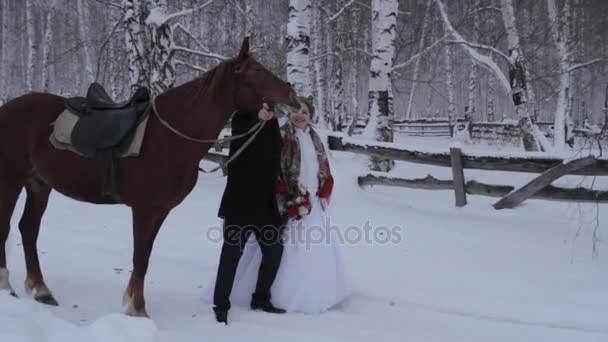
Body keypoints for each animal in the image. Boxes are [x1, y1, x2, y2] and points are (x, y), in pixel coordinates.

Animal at [0, 38, 296, 318]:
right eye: (255, 70)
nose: (292, 92)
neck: (170, 137)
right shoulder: (143, 209)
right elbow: (140, 257)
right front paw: (138, 309)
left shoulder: (159, 210)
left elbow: (145, 256)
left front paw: (132, 303)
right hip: (11, 181)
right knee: (7, 228)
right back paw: (7, 287)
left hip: (39, 185)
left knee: (29, 229)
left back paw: (41, 290)